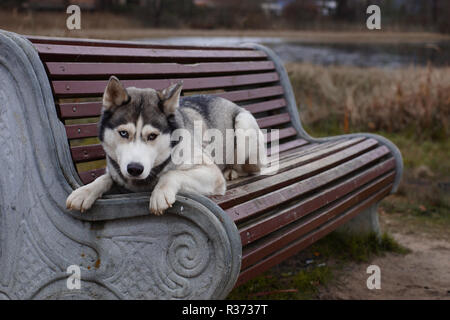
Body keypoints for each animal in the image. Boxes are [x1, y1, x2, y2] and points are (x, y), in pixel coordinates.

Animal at [67, 75, 268, 215]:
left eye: (152, 136)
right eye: (123, 133)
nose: (134, 168)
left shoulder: (211, 174)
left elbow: (172, 173)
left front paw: (160, 192)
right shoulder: (117, 171)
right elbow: (105, 178)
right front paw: (85, 191)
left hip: (243, 125)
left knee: (249, 167)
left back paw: (231, 171)